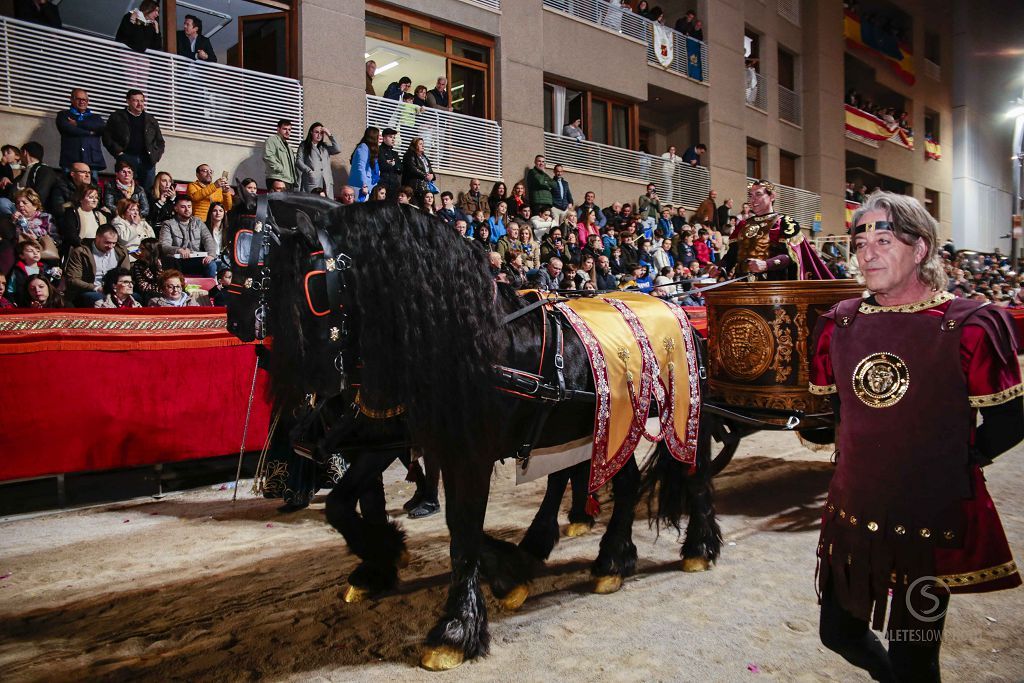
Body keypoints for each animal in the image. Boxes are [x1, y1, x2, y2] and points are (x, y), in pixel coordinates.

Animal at [226, 194, 720, 671]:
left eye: (310, 287)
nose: (236, 324)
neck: (461, 338)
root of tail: (674, 306)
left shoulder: (468, 451)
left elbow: (461, 529)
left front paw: (456, 629)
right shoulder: (394, 438)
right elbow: (343, 505)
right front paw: (393, 559)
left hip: (678, 415)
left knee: (691, 473)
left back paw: (695, 547)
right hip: (606, 425)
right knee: (621, 481)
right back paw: (609, 558)